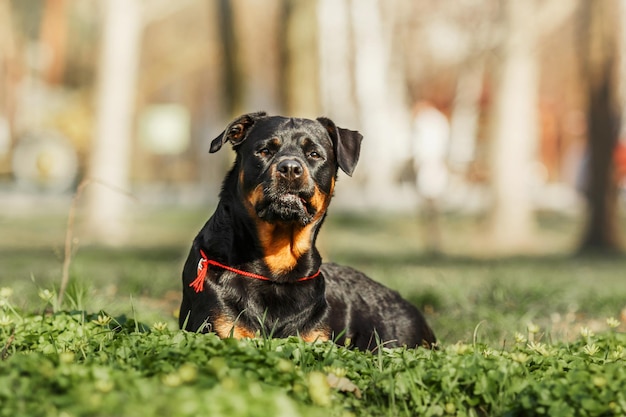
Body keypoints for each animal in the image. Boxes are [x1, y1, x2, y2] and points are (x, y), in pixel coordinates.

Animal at [179, 112, 434, 350]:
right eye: (264, 151)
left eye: (314, 154)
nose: (290, 168)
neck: (277, 267)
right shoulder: (222, 327)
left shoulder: (315, 338)